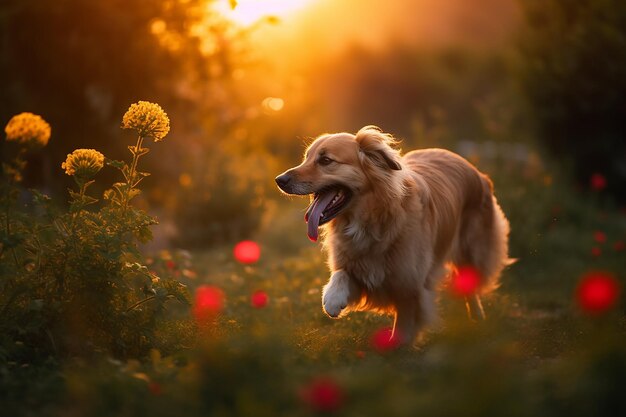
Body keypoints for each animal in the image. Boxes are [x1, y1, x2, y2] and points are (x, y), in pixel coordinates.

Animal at [276, 126, 510, 344]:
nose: (280, 180)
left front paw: (397, 349)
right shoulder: (360, 268)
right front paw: (332, 299)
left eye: (325, 160)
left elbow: (404, 326)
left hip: (470, 253)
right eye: (306, 158)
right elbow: (341, 273)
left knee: (472, 289)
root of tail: (475, 170)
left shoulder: (410, 287)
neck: (372, 221)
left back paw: (478, 320)